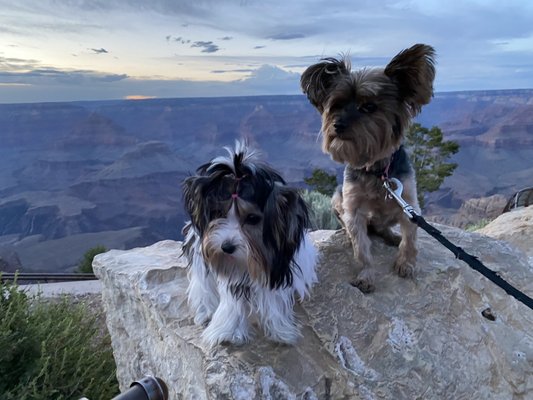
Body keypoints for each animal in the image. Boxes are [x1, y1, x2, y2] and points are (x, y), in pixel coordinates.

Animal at [183, 141, 316, 346]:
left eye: (252, 218)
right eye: (218, 214)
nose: (226, 247)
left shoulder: (276, 268)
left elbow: (273, 298)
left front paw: (281, 331)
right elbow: (232, 301)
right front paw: (227, 332)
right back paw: (205, 311)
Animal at [302, 44, 434, 294]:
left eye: (369, 106)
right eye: (336, 105)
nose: (337, 125)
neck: (376, 170)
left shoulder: (409, 202)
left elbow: (410, 238)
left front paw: (406, 263)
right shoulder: (353, 208)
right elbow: (361, 248)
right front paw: (365, 275)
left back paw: (391, 236)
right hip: (337, 197)